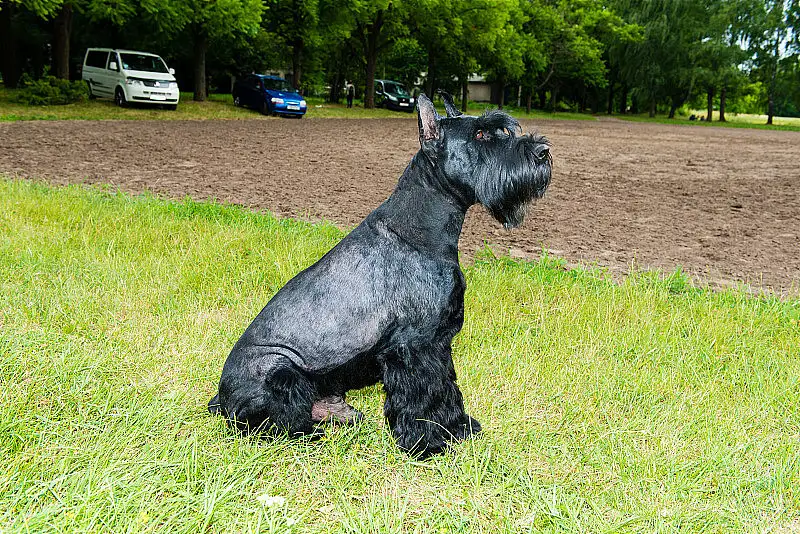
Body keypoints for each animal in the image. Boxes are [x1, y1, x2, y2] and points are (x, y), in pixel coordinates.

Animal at [209, 93, 552, 460]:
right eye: (479, 135)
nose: (542, 151)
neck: (421, 230)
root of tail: (220, 401)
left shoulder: (439, 343)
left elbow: (446, 389)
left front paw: (458, 428)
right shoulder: (415, 345)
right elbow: (424, 397)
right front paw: (428, 444)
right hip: (281, 373)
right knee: (277, 423)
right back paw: (308, 433)